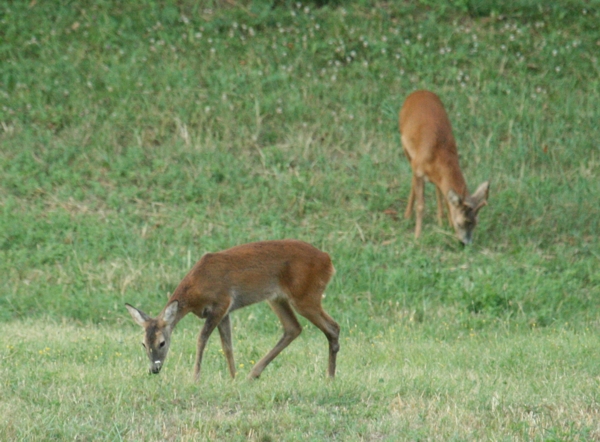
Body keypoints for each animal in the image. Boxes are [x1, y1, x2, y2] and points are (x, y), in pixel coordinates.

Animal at [125, 240, 342, 382]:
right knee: (293, 328)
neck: (196, 288)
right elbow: (227, 345)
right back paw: (253, 374)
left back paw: (330, 376)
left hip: (306, 295)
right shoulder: (225, 311)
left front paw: (195, 377)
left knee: (333, 327)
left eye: (162, 343)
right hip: (277, 298)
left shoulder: (222, 302)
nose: (154, 369)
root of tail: (329, 261)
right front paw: (233, 377)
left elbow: (202, 338)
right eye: (143, 343)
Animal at [398, 88, 488, 243]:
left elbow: (446, 198)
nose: (466, 243)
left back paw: (439, 219)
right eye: (461, 223)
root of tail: (419, 91)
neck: (439, 154)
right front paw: (417, 236)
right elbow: (421, 206)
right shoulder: (418, 169)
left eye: (476, 222)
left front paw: (447, 226)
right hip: (405, 147)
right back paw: (407, 215)